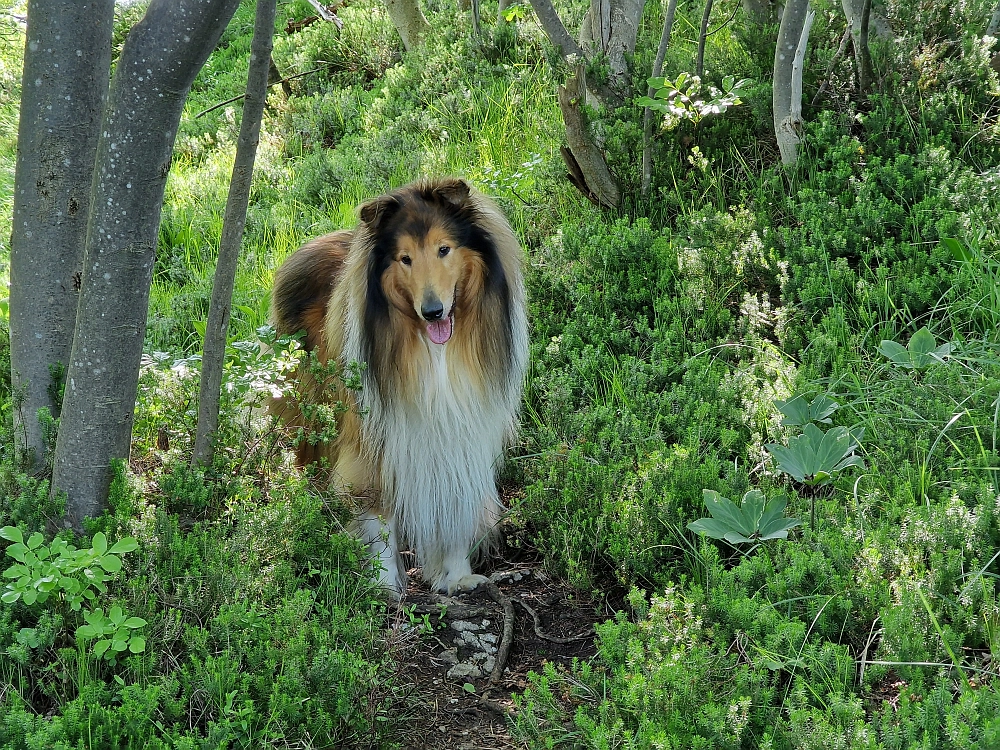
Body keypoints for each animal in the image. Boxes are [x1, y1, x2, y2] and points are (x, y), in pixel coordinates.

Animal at [270, 179, 528, 596]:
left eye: (444, 249)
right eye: (405, 259)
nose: (433, 311)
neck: (435, 351)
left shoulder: (462, 431)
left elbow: (454, 501)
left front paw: (456, 576)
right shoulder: (374, 438)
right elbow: (378, 514)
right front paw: (385, 585)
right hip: (311, 416)